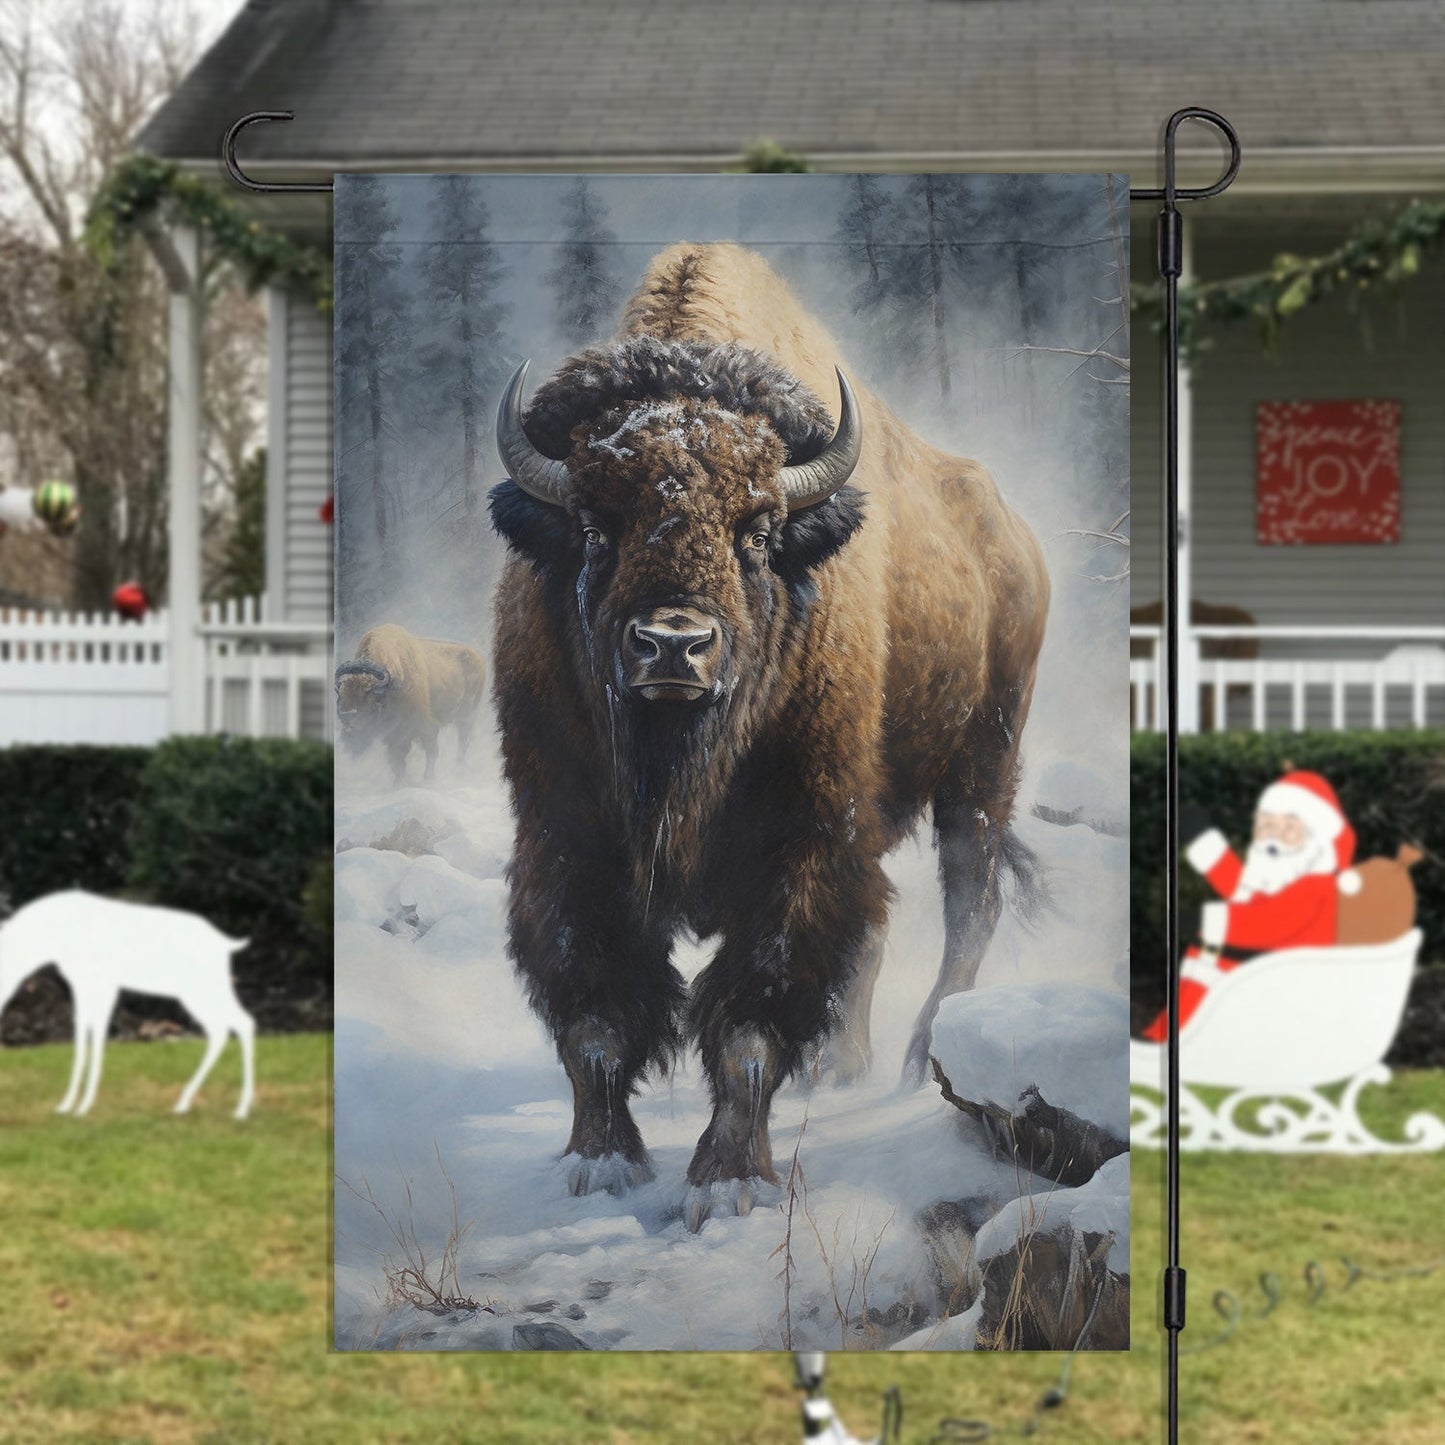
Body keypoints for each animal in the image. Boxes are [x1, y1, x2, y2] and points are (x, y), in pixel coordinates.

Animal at [333, 621, 488, 780]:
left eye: (368, 692)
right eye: (340, 692)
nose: (347, 716)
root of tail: (478, 657)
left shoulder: (425, 726)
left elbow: (431, 751)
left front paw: (428, 779)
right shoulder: (394, 734)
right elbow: (398, 760)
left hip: (467, 715)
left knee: (463, 739)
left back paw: (460, 769)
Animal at [491, 242, 1046, 1225]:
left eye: (756, 531)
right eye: (594, 525)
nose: (673, 644)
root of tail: (1016, 542)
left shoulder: (802, 837)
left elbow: (753, 1010)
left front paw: (727, 1179)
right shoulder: (561, 835)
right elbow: (592, 1005)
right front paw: (600, 1160)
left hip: (981, 770)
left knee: (966, 906)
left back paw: (917, 1060)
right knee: (884, 929)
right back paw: (842, 1063)